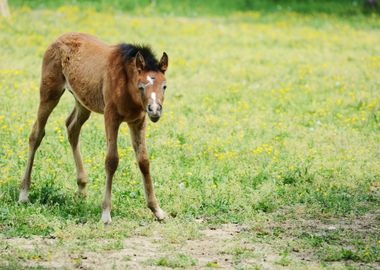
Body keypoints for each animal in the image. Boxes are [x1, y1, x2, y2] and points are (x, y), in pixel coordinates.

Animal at [18, 33, 168, 224]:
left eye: (164, 86)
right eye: (141, 86)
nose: (155, 110)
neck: (126, 83)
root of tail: (58, 38)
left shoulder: (138, 120)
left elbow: (143, 161)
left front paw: (156, 210)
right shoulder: (110, 117)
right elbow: (111, 160)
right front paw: (105, 213)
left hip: (82, 101)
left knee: (72, 127)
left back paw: (82, 188)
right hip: (49, 93)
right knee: (36, 134)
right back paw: (24, 193)